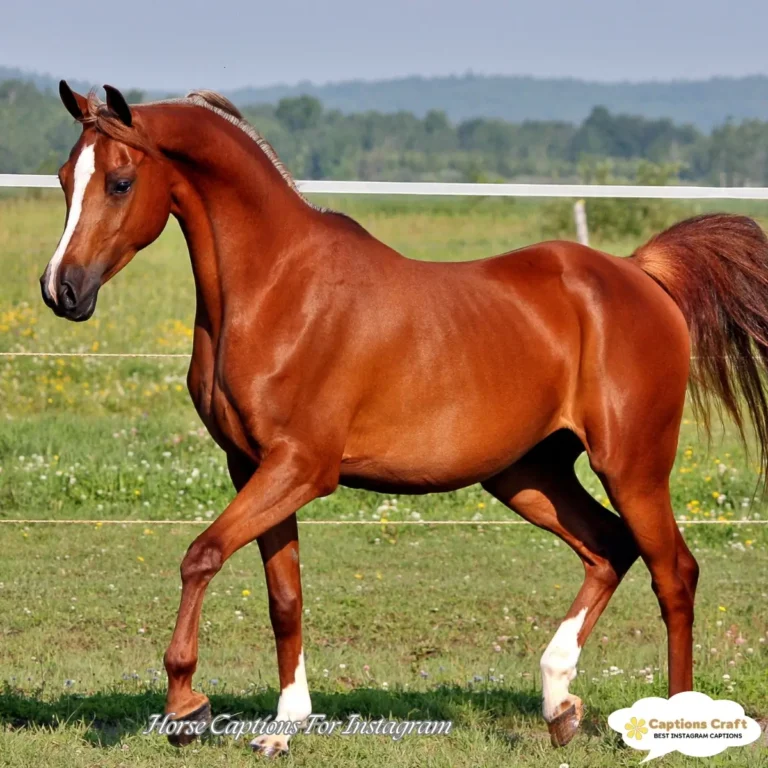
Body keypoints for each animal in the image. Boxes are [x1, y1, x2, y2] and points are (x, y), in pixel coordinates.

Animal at [40, 81, 768, 756]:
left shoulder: (301, 467)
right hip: (528, 474)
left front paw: (187, 707)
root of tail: (640, 275)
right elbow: (284, 598)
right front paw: (282, 729)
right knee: (609, 547)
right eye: (64, 177)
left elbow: (202, 555)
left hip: (633, 466)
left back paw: (675, 724)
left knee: (674, 574)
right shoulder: (253, 467)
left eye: (121, 181)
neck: (278, 289)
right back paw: (559, 703)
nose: (61, 290)